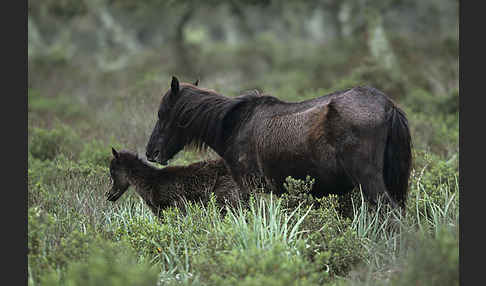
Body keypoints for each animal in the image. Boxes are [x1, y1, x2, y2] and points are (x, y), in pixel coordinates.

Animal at [144, 77, 410, 209]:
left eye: (162, 113)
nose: (151, 152)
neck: (235, 124)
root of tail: (388, 105)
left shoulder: (251, 189)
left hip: (370, 182)